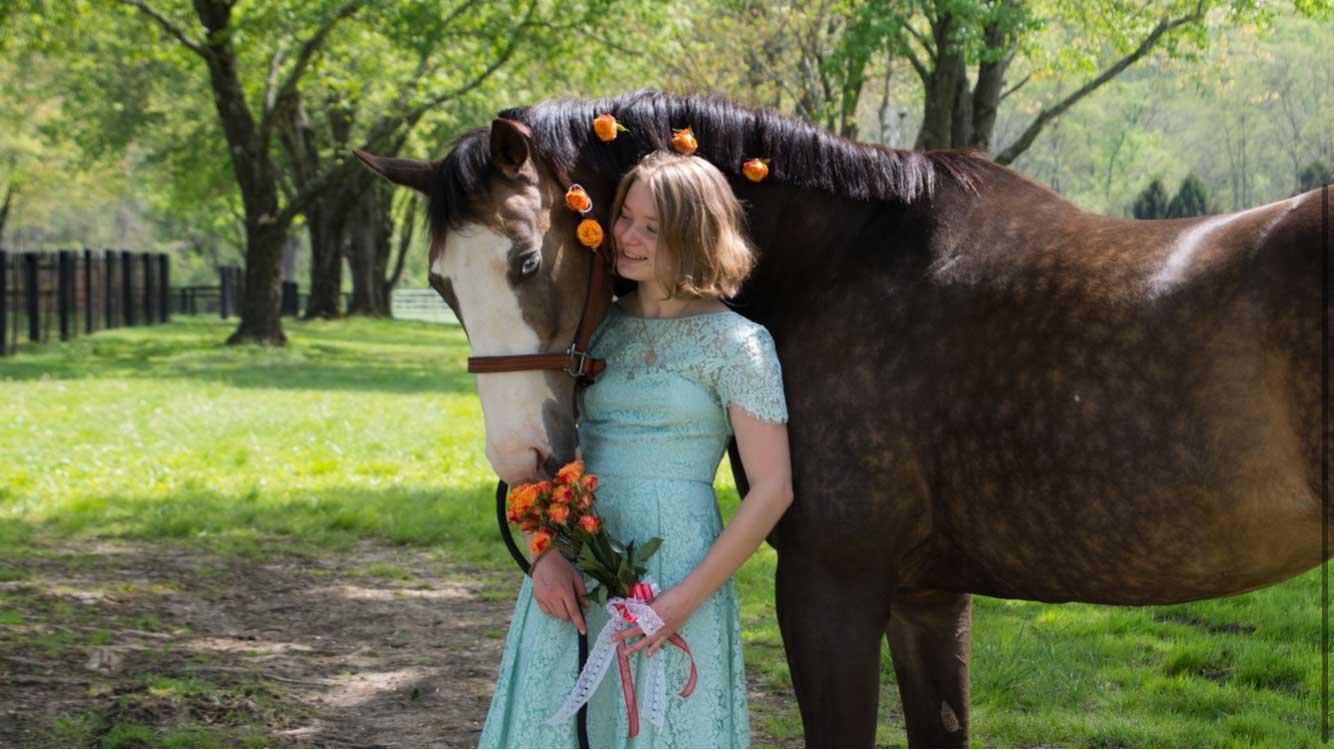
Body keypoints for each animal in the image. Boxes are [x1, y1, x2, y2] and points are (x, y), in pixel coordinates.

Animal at [357, 90, 1334, 741]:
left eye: (525, 260)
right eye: (441, 281)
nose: (521, 457)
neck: (845, 268)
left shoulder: (832, 584)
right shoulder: (926, 596)